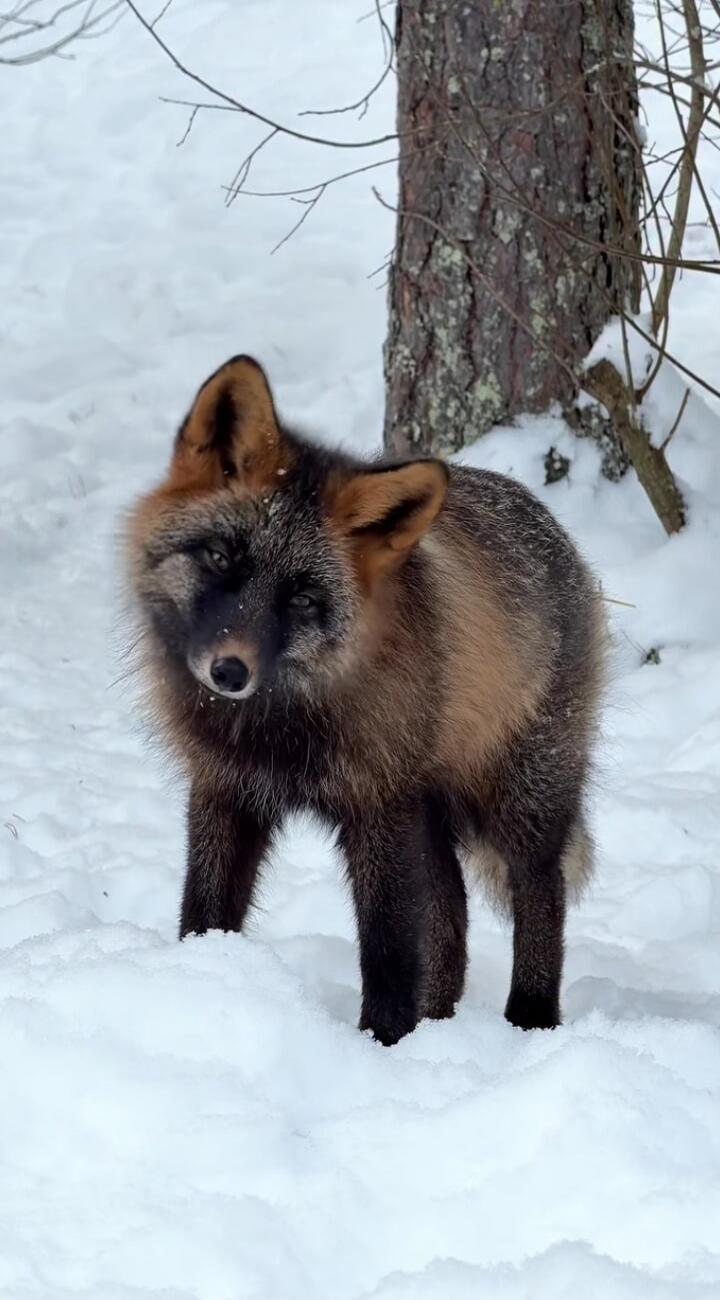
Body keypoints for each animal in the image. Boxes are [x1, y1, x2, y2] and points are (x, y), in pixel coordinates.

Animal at [127, 354, 605, 1045]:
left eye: (302, 599)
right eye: (219, 557)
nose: (229, 672)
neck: (282, 727)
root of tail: (557, 532)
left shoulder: (376, 806)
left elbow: (386, 951)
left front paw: (382, 1043)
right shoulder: (225, 785)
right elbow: (205, 908)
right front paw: (196, 979)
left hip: (518, 800)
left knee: (540, 894)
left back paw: (529, 1022)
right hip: (428, 812)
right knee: (451, 912)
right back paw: (439, 1022)